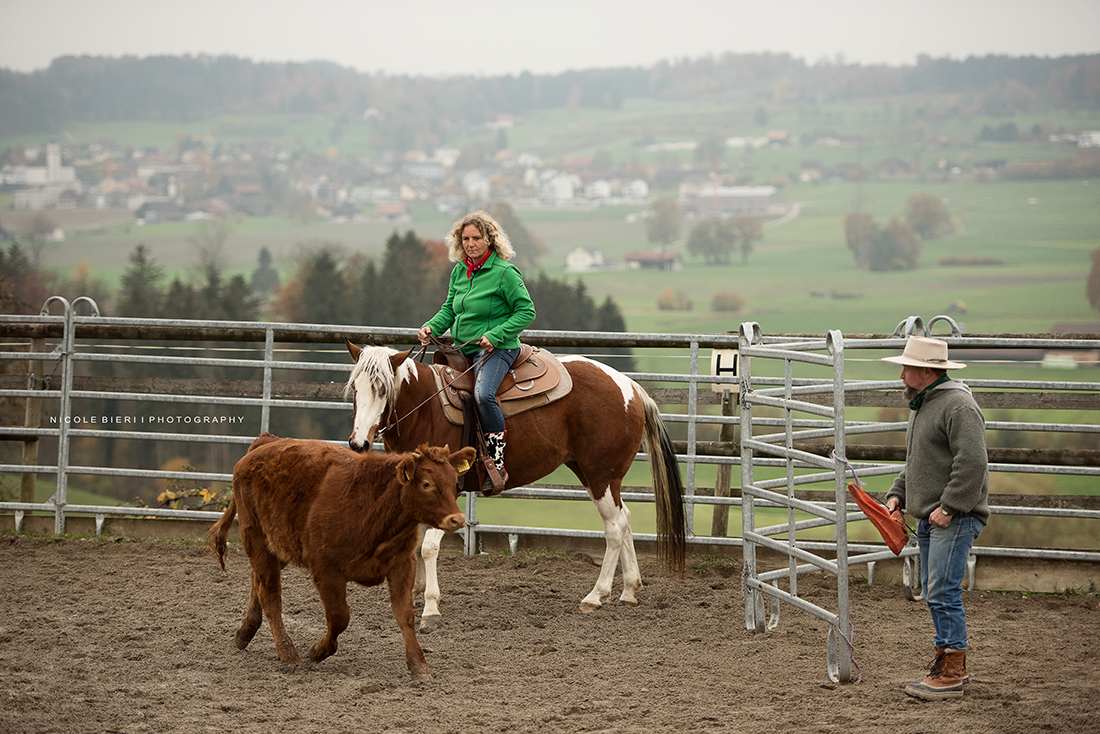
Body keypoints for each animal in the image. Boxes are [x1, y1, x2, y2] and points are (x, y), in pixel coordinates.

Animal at [344, 340, 687, 631]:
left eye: (382, 389)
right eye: (355, 390)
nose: (358, 444)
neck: (425, 409)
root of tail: (630, 387)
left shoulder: (450, 491)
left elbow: (428, 548)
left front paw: (431, 607)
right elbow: (413, 544)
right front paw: (414, 593)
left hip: (601, 474)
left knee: (614, 526)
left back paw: (596, 595)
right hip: (592, 474)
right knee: (624, 517)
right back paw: (629, 589)